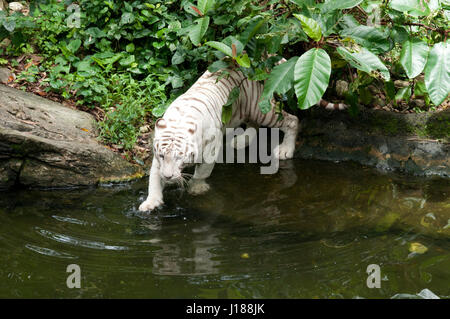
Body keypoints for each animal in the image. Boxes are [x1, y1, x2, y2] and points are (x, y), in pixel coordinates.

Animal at [139, 65, 346, 212]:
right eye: (162, 156)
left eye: (180, 156)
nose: (169, 177)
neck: (180, 122)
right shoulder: (158, 160)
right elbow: (154, 180)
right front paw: (151, 203)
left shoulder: (211, 149)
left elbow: (201, 173)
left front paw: (196, 189)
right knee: (253, 125)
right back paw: (240, 141)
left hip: (261, 109)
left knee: (292, 120)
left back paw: (285, 149)